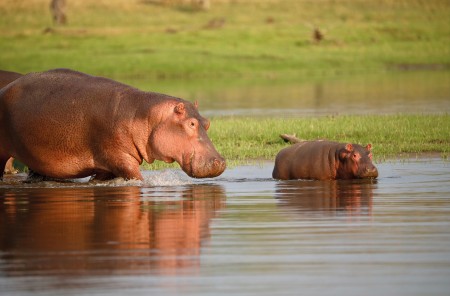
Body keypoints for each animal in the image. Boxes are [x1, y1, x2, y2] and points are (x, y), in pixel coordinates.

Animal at [0, 68, 225, 182]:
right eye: (192, 123)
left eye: (207, 122)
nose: (221, 161)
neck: (145, 116)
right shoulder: (120, 158)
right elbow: (136, 178)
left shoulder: (104, 166)